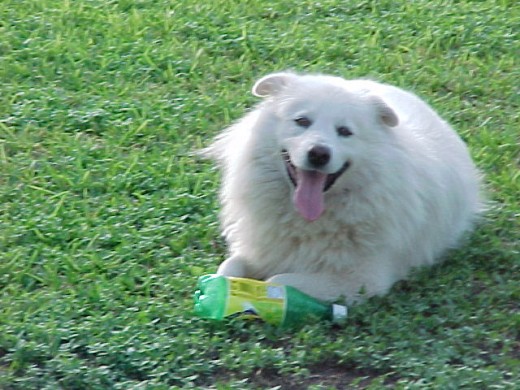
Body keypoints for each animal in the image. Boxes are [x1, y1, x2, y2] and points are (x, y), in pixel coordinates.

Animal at [205, 73, 482, 304]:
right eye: (302, 121)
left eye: (345, 131)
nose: (319, 154)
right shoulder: (255, 250)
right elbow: (228, 269)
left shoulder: (362, 279)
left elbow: (278, 280)